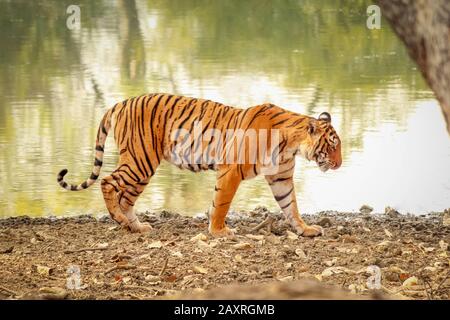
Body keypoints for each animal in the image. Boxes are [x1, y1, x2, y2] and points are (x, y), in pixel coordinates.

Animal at [58, 92, 342, 238]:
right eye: (332, 145)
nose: (340, 164)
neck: (291, 145)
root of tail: (121, 102)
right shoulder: (231, 170)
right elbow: (221, 203)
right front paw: (219, 231)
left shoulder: (280, 178)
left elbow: (291, 206)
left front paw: (306, 229)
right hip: (140, 161)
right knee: (108, 182)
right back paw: (118, 220)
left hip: (143, 168)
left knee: (126, 197)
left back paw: (135, 226)